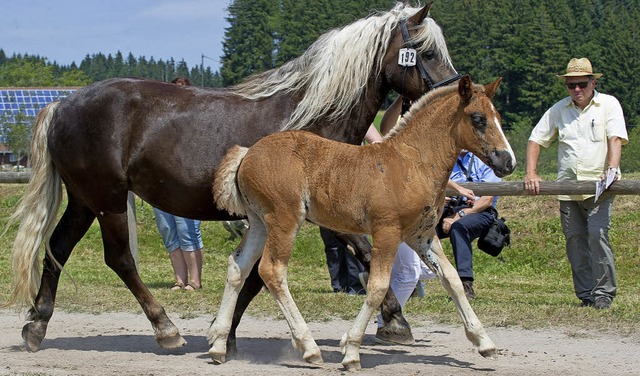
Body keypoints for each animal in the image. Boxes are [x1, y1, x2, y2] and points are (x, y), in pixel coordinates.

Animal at [10, 2, 460, 356]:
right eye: (426, 52)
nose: (455, 94)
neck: (310, 121)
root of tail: (64, 104)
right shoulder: (305, 215)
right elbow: (339, 258)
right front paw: (395, 320)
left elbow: (257, 274)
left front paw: (223, 334)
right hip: (108, 199)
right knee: (119, 258)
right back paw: (165, 329)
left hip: (85, 200)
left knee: (57, 249)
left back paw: (36, 326)